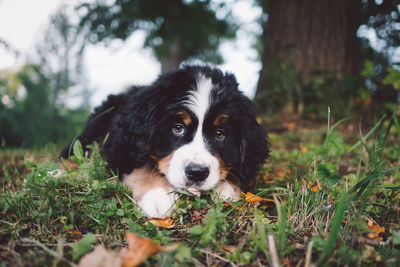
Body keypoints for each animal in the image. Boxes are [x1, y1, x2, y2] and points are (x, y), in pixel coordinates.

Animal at [61, 64, 270, 218]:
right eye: (178, 128)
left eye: (220, 134)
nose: (196, 173)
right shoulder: (121, 150)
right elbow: (143, 166)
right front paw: (156, 195)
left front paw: (226, 187)